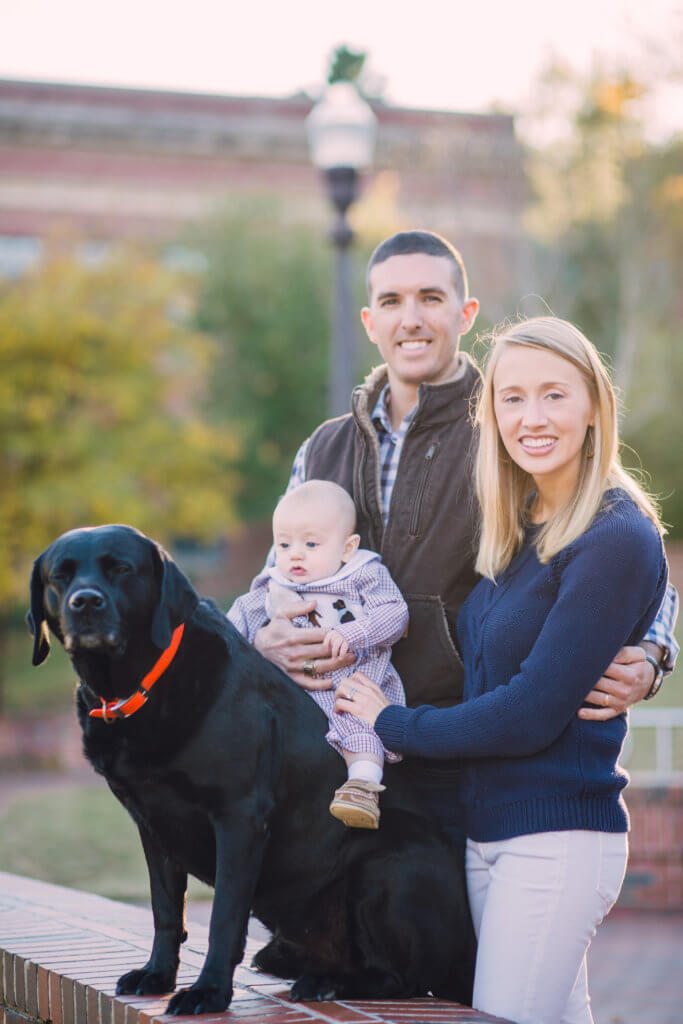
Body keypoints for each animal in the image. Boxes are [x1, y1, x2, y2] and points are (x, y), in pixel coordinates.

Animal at [28, 528, 475, 1015]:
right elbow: (165, 911)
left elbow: (223, 915)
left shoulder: (238, 816)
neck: (142, 685)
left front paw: (208, 992)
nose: (85, 602)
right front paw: (157, 974)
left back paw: (327, 984)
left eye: (122, 569)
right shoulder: (152, 824)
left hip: (386, 866)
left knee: (401, 978)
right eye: (60, 576)